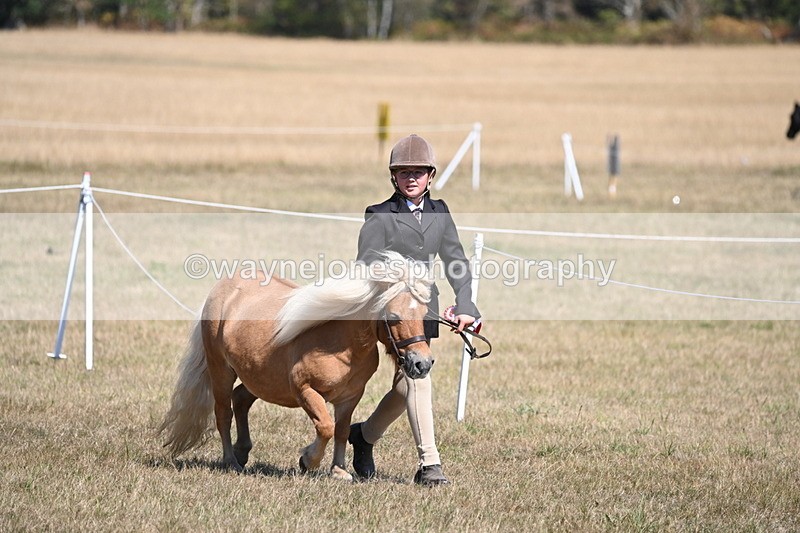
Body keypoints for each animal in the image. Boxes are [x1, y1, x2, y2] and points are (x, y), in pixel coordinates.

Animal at [157, 251, 434, 481]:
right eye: (394, 317)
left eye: (423, 315)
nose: (422, 363)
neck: (340, 345)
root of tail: (222, 290)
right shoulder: (304, 390)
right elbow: (325, 427)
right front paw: (308, 461)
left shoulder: (350, 397)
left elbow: (342, 430)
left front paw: (338, 471)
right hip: (221, 370)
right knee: (223, 413)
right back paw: (230, 461)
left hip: (261, 378)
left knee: (241, 399)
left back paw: (242, 452)